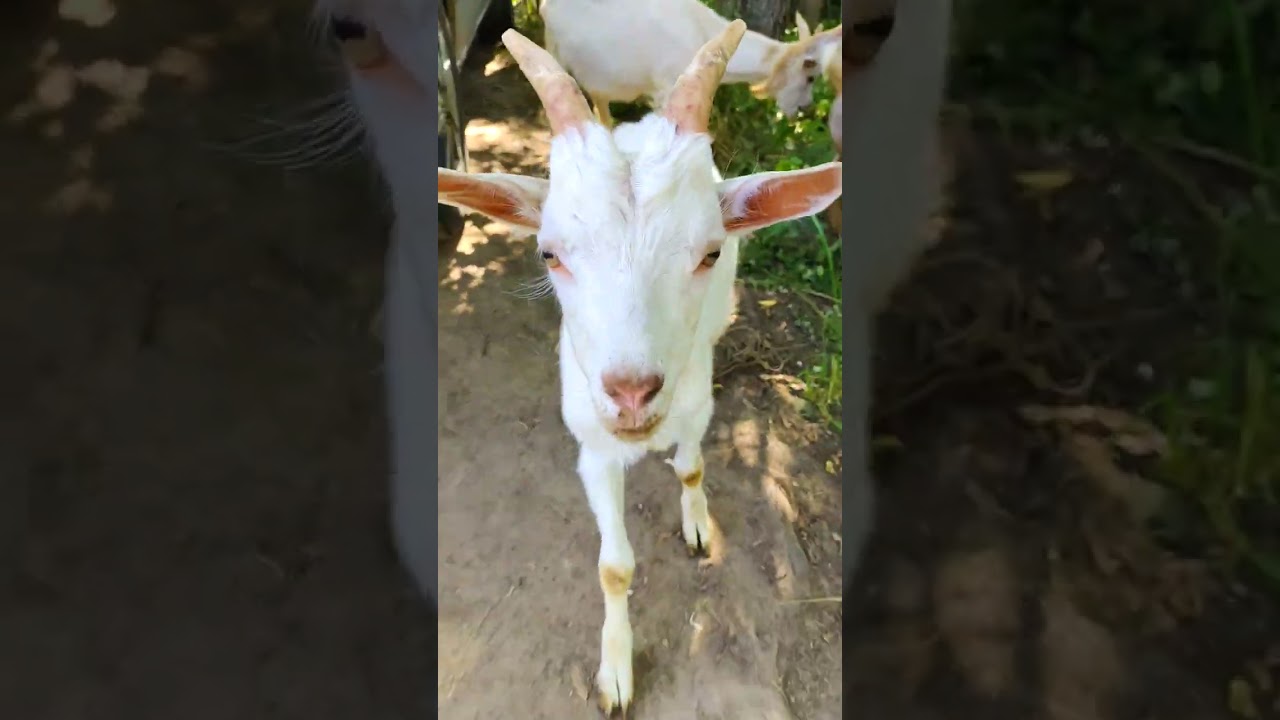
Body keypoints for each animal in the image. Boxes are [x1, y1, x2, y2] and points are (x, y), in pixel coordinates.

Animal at [437, 22, 842, 714]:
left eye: (710, 252)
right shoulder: (593, 446)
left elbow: (693, 465)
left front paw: (698, 524)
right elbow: (613, 567)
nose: (631, 393)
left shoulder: (696, 402)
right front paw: (616, 672)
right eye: (549, 253)